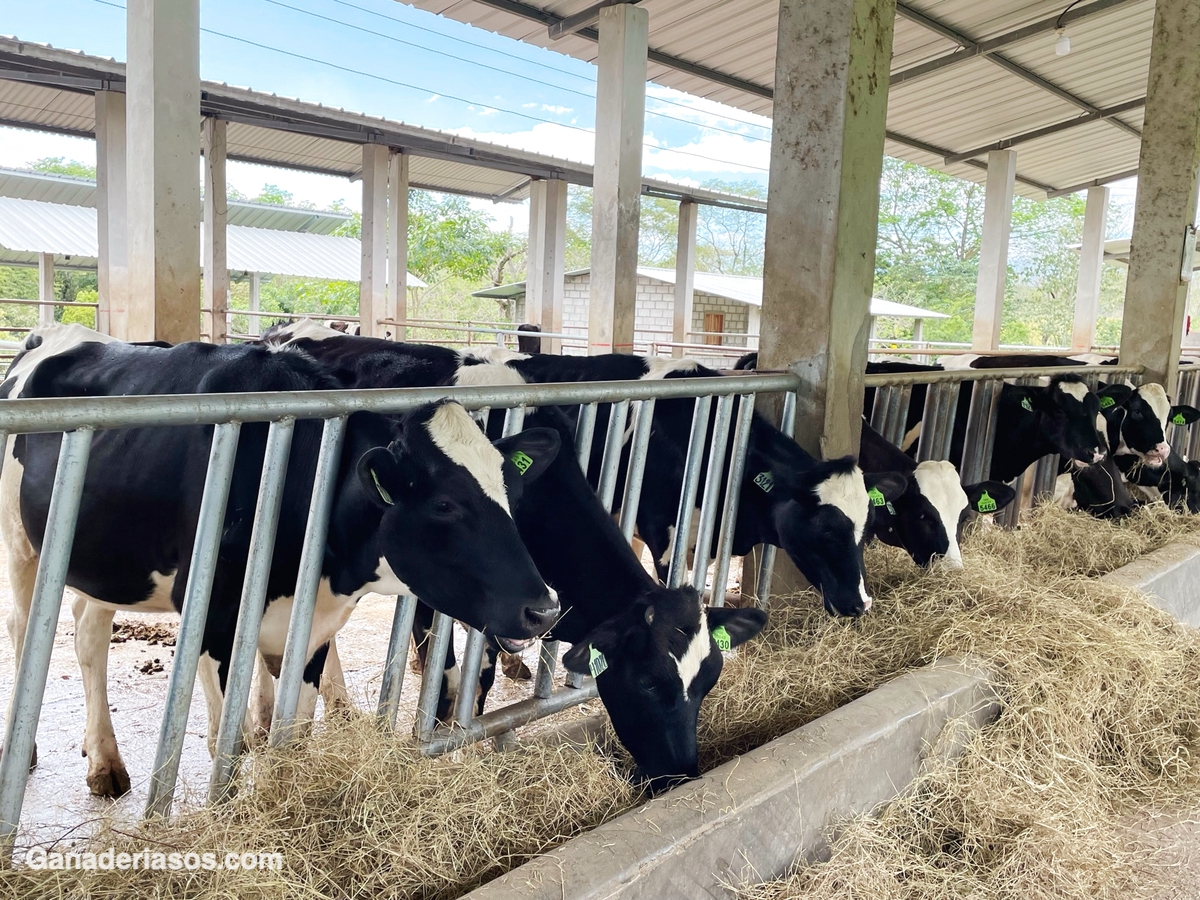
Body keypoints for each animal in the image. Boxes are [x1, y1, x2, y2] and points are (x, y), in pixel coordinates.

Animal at [0, 328, 561, 801]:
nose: (545, 608)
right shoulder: (212, 611)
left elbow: (295, 732)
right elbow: (227, 743)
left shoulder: (312, 625)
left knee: (88, 633)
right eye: (445, 504)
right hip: (24, 545)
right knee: (25, 627)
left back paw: (102, 758)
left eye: (510, 490)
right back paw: (27, 748)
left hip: (104, 559)